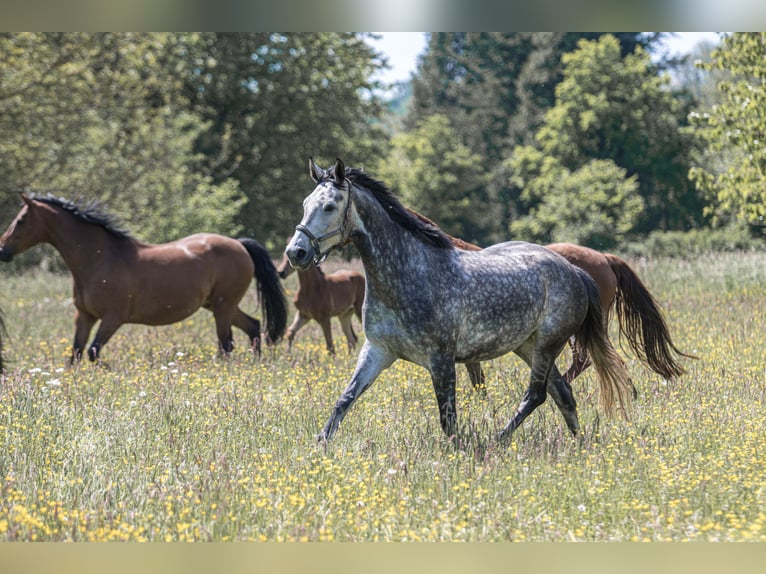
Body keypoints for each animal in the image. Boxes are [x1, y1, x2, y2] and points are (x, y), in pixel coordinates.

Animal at [0, 196, 288, 362]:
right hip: (219, 306)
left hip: (222, 306)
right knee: (253, 327)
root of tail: (240, 245)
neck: (100, 258)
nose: (2, 250)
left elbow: (93, 352)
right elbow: (76, 353)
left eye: (21, 220)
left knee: (227, 344)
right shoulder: (85, 316)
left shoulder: (112, 318)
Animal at [288, 160, 636, 444]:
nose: (296, 252)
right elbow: (344, 399)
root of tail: (574, 271)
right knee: (562, 393)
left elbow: (448, 419)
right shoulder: (378, 350)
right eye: (305, 204)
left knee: (536, 394)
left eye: (329, 206)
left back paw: (498, 440)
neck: (408, 274)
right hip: (528, 346)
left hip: (549, 344)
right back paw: (578, 444)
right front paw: (321, 446)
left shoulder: (441, 360)